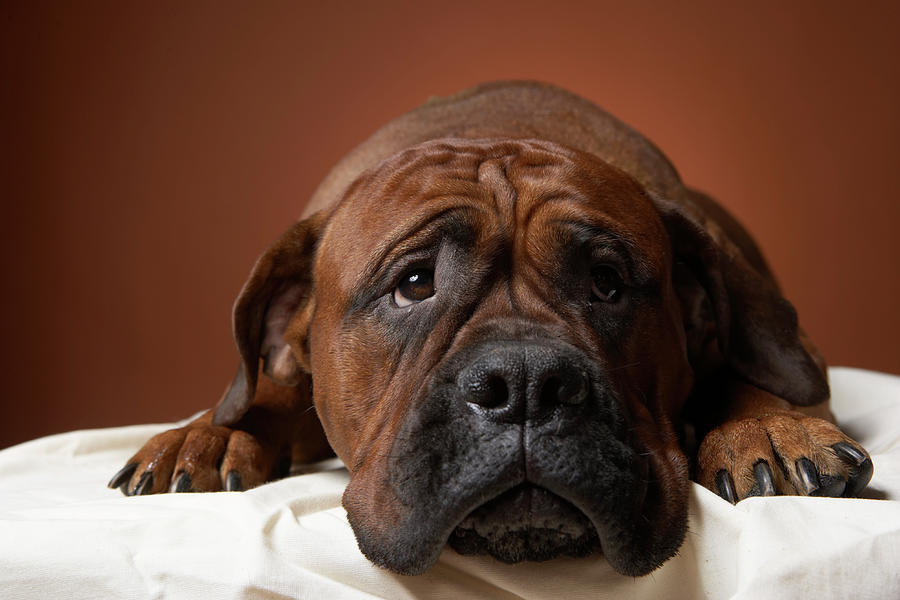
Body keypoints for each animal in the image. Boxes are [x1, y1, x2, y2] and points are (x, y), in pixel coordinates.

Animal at [107, 82, 872, 576]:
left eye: (608, 282)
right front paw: (208, 433)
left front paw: (769, 425)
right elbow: (259, 397)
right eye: (414, 284)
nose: (528, 385)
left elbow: (748, 376)